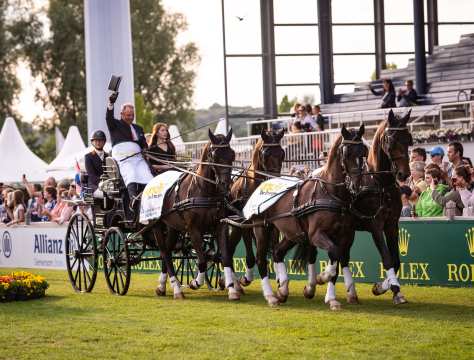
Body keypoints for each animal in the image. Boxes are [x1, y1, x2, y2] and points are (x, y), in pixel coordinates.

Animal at [227, 128, 284, 286]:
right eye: (265, 154)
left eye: (282, 153)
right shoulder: (249, 223)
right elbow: (255, 255)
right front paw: (246, 278)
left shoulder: (272, 223)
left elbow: (275, 249)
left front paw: (280, 279)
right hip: (237, 225)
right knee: (231, 248)